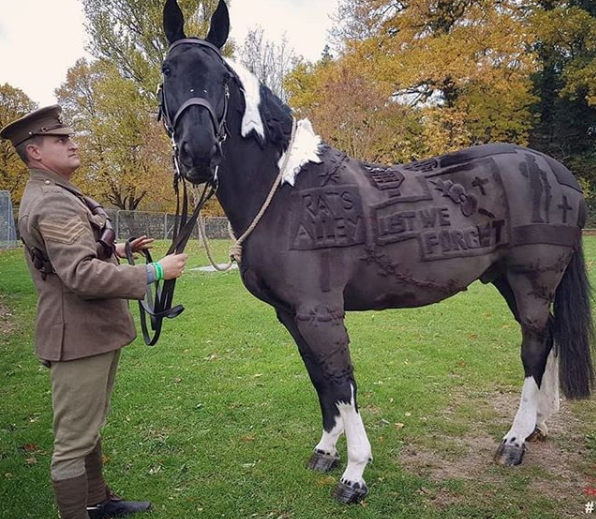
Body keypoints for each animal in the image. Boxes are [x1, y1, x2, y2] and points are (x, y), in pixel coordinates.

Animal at [161, 0, 592, 504]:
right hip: (508, 281)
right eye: (168, 70)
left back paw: (514, 440)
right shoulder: (291, 315)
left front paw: (354, 472)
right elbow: (320, 379)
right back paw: (536, 427)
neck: (288, 190)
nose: (198, 153)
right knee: (547, 343)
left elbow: (342, 381)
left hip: (531, 283)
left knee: (534, 347)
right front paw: (326, 451)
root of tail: (556, 172)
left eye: (223, 78)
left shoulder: (321, 313)